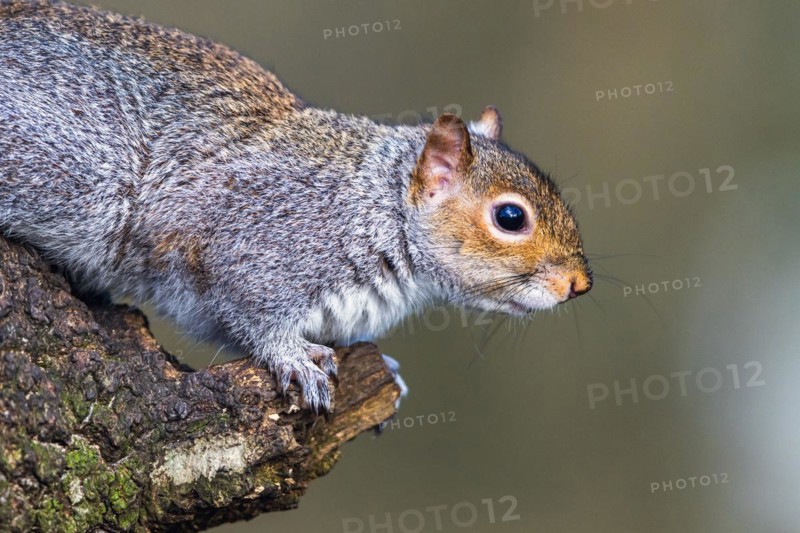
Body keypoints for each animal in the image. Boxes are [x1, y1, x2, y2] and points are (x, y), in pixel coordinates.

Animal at [0, 0, 593, 412]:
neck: (370, 208)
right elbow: (250, 315)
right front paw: (292, 357)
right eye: (510, 217)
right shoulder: (252, 243)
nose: (579, 285)